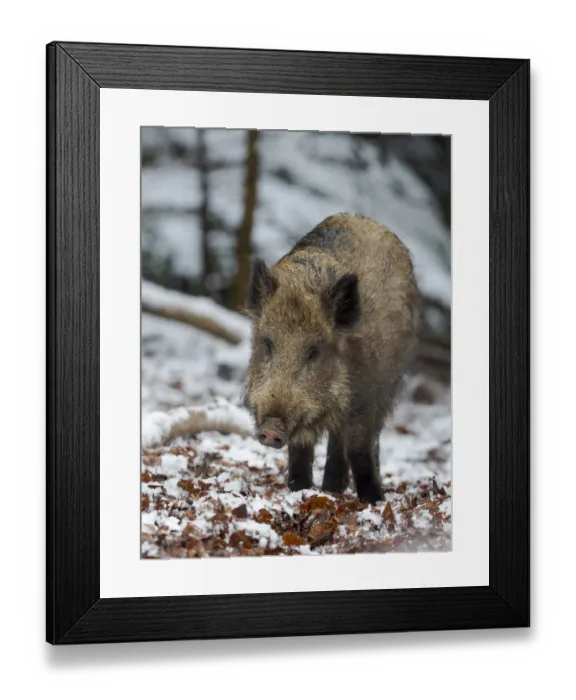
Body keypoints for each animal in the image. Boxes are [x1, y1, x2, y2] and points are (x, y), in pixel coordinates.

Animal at [243, 213, 419, 504]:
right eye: (267, 344)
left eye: (313, 352)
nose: (271, 429)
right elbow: (300, 452)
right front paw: (301, 490)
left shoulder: (366, 401)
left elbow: (359, 449)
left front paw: (373, 500)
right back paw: (330, 489)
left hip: (390, 387)